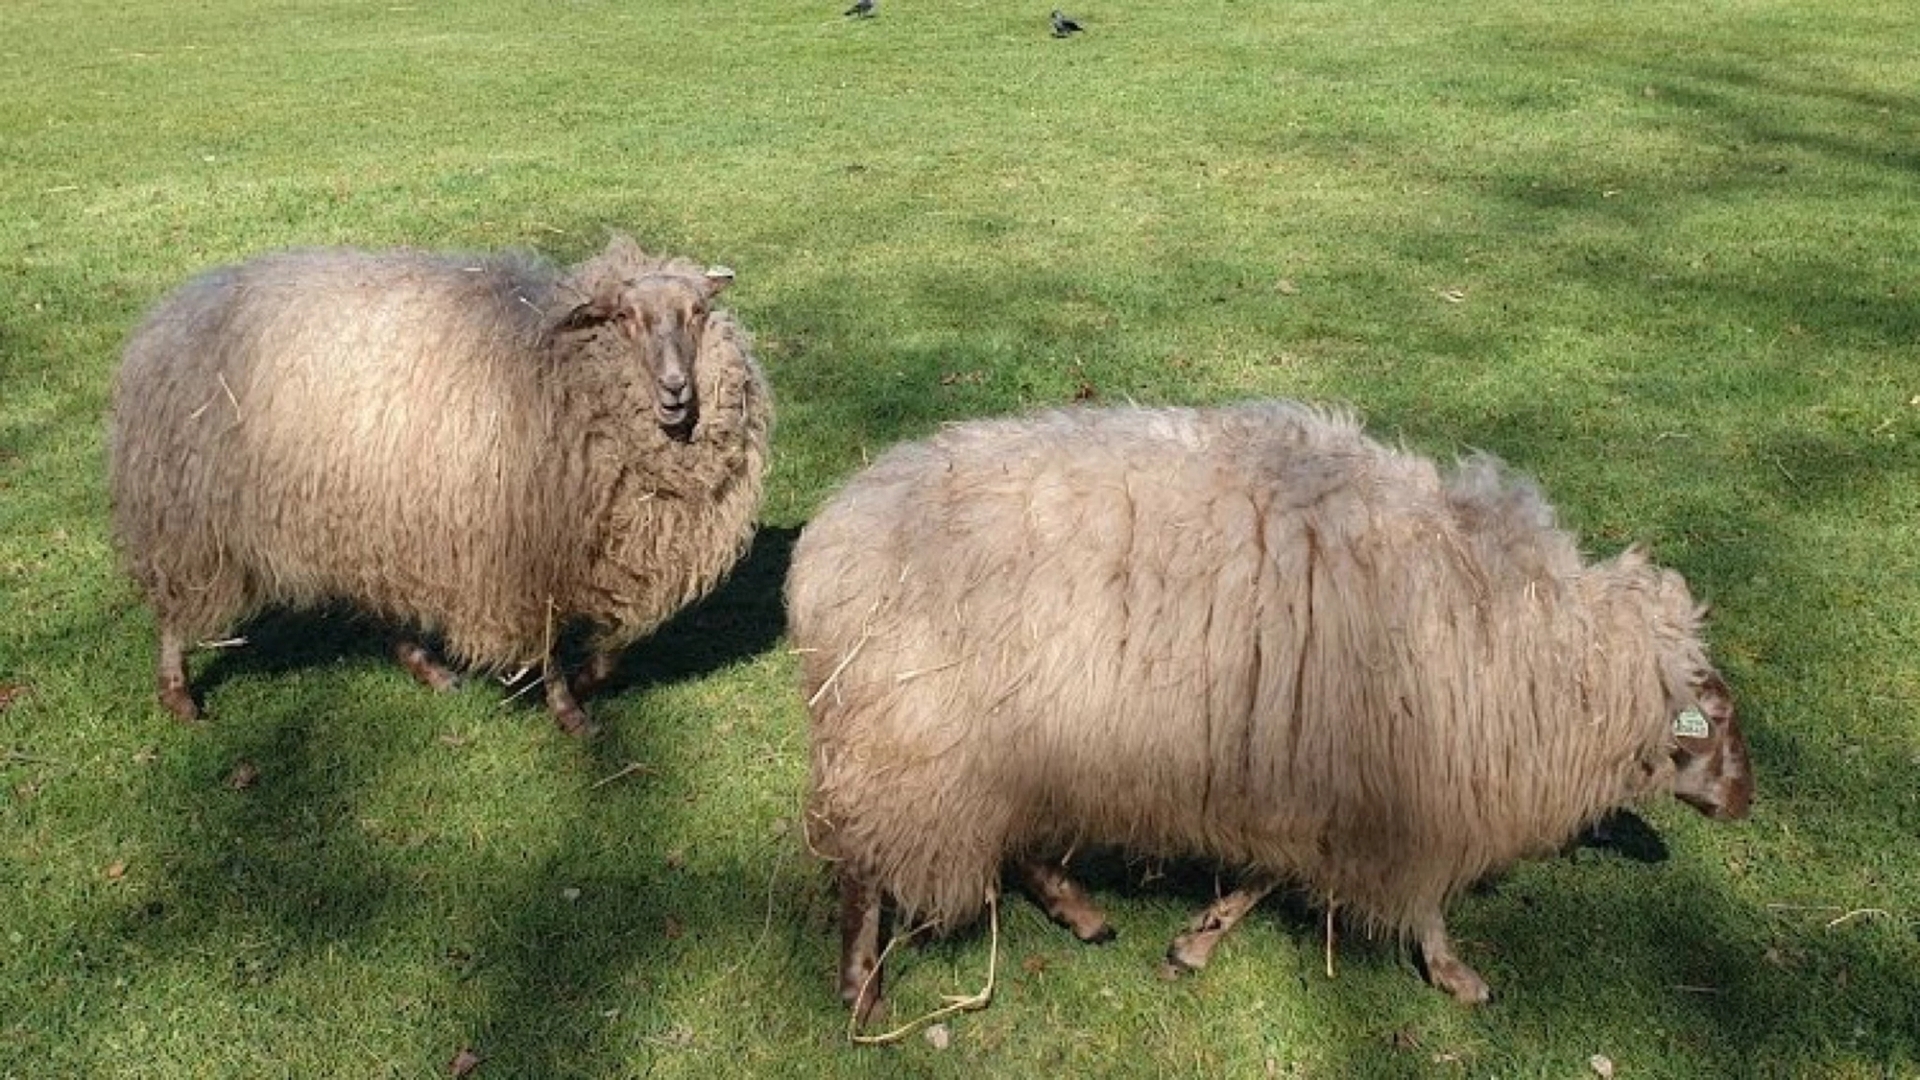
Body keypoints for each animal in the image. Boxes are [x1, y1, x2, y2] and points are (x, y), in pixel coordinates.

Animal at [109, 234, 772, 735]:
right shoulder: (527, 556)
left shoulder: (596, 554)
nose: (675, 389)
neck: (565, 371)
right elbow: (551, 645)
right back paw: (178, 693)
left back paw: (427, 667)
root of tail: (173, 310)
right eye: (626, 318)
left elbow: (609, 653)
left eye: (697, 313)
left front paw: (586, 681)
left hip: (370, 517)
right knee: (174, 607)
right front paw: (567, 709)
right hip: (186, 518)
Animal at [787, 400, 1753, 1023]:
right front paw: (1454, 973)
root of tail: (833, 535)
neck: (1539, 643)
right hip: (907, 742)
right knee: (861, 863)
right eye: (1711, 720)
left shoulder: (1314, 779)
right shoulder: (1402, 789)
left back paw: (1080, 911)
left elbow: (1267, 875)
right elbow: (1415, 900)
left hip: (998, 748)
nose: (1746, 800)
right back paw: (861, 989)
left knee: (1013, 841)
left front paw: (1197, 939)